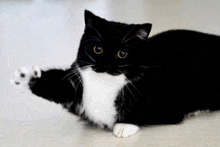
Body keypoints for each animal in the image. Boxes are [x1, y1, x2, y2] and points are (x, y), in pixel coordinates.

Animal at [10, 10, 220, 138]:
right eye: (98, 49)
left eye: (122, 53)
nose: (106, 64)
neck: (105, 84)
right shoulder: (76, 86)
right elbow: (55, 86)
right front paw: (26, 76)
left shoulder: (169, 104)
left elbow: (144, 111)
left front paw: (124, 125)